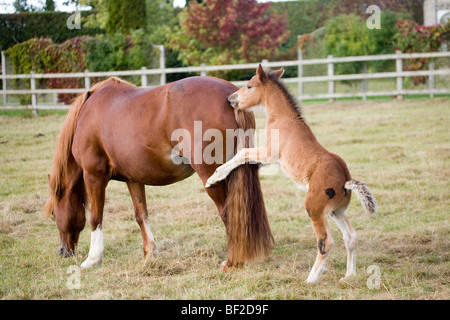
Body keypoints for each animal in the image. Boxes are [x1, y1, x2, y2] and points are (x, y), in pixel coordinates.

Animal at [43, 75, 274, 270]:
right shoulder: (133, 178)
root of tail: (232, 95)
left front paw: (93, 259)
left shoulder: (94, 176)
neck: (89, 111)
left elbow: (95, 217)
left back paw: (232, 260)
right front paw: (150, 253)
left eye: (54, 213)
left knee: (229, 213)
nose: (63, 251)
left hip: (212, 176)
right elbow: (140, 214)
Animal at [207, 64, 376, 282]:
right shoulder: (269, 160)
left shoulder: (269, 154)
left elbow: (242, 153)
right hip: (337, 211)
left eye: (249, 86)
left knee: (326, 242)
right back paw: (349, 275)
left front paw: (214, 177)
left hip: (315, 209)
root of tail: (346, 179)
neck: (282, 117)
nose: (231, 98)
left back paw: (311, 280)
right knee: (351, 236)